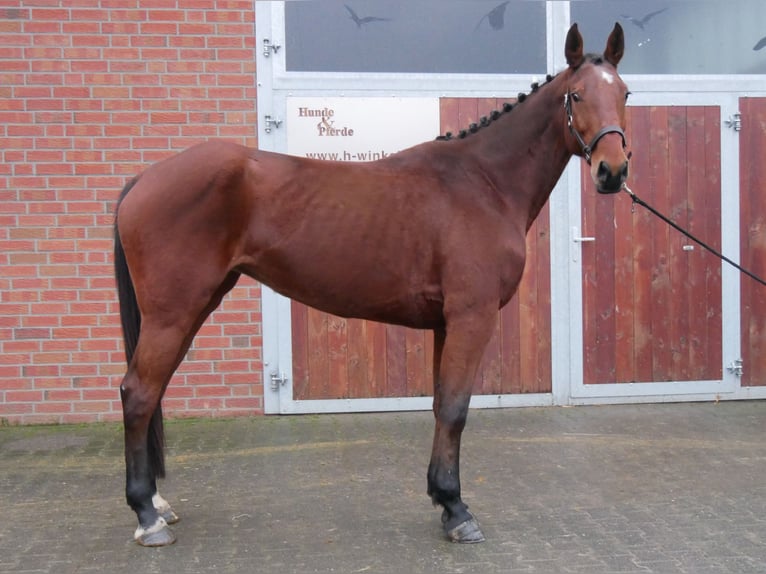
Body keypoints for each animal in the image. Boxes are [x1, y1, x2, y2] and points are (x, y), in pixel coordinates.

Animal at [112, 23, 632, 548]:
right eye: (576, 95)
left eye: (625, 93)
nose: (613, 171)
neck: (483, 182)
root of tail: (144, 178)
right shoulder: (472, 317)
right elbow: (456, 409)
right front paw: (457, 510)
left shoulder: (446, 323)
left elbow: (441, 404)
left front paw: (442, 499)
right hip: (173, 313)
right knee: (138, 393)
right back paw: (146, 516)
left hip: (194, 308)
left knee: (152, 393)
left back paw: (158, 503)